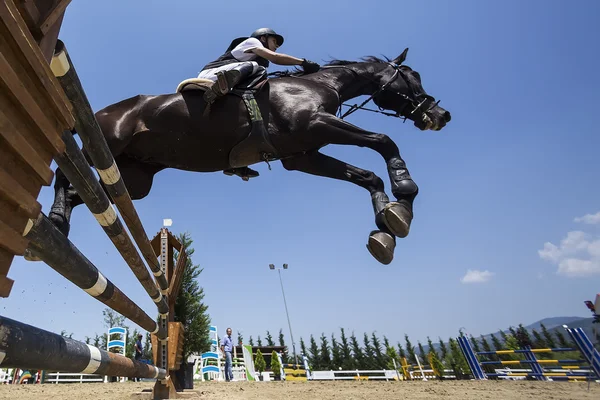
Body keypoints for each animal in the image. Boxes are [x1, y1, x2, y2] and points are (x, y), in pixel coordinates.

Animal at [50, 48, 450, 264]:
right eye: (412, 77)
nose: (441, 115)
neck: (318, 84)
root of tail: (99, 112)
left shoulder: (303, 155)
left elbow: (368, 176)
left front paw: (388, 225)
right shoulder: (318, 125)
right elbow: (384, 141)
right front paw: (405, 193)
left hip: (132, 179)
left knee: (85, 193)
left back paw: (60, 223)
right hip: (105, 147)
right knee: (65, 176)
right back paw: (55, 221)